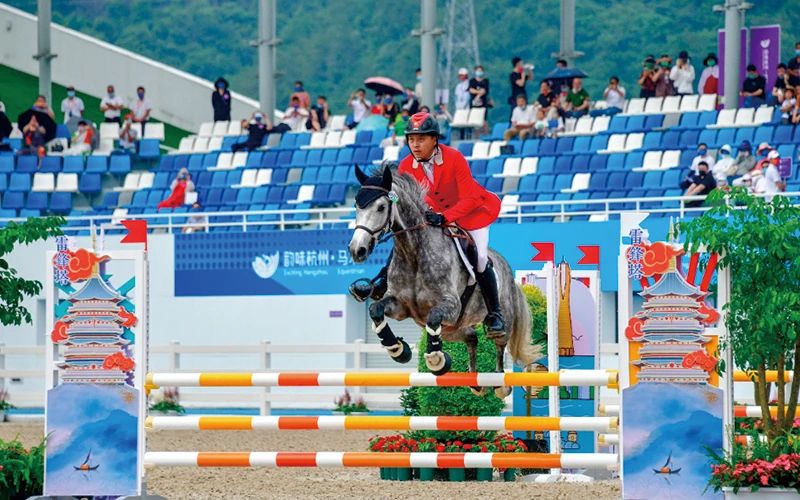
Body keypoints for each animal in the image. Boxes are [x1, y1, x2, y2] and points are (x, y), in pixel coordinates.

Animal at [348, 165, 542, 397]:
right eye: (356, 206)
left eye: (381, 207)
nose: (357, 250)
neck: (413, 252)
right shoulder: (400, 306)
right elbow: (375, 309)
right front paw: (398, 349)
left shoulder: (450, 305)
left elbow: (433, 318)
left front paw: (436, 360)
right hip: (452, 329)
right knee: (471, 337)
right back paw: (475, 382)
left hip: (499, 315)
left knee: (499, 344)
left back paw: (499, 383)